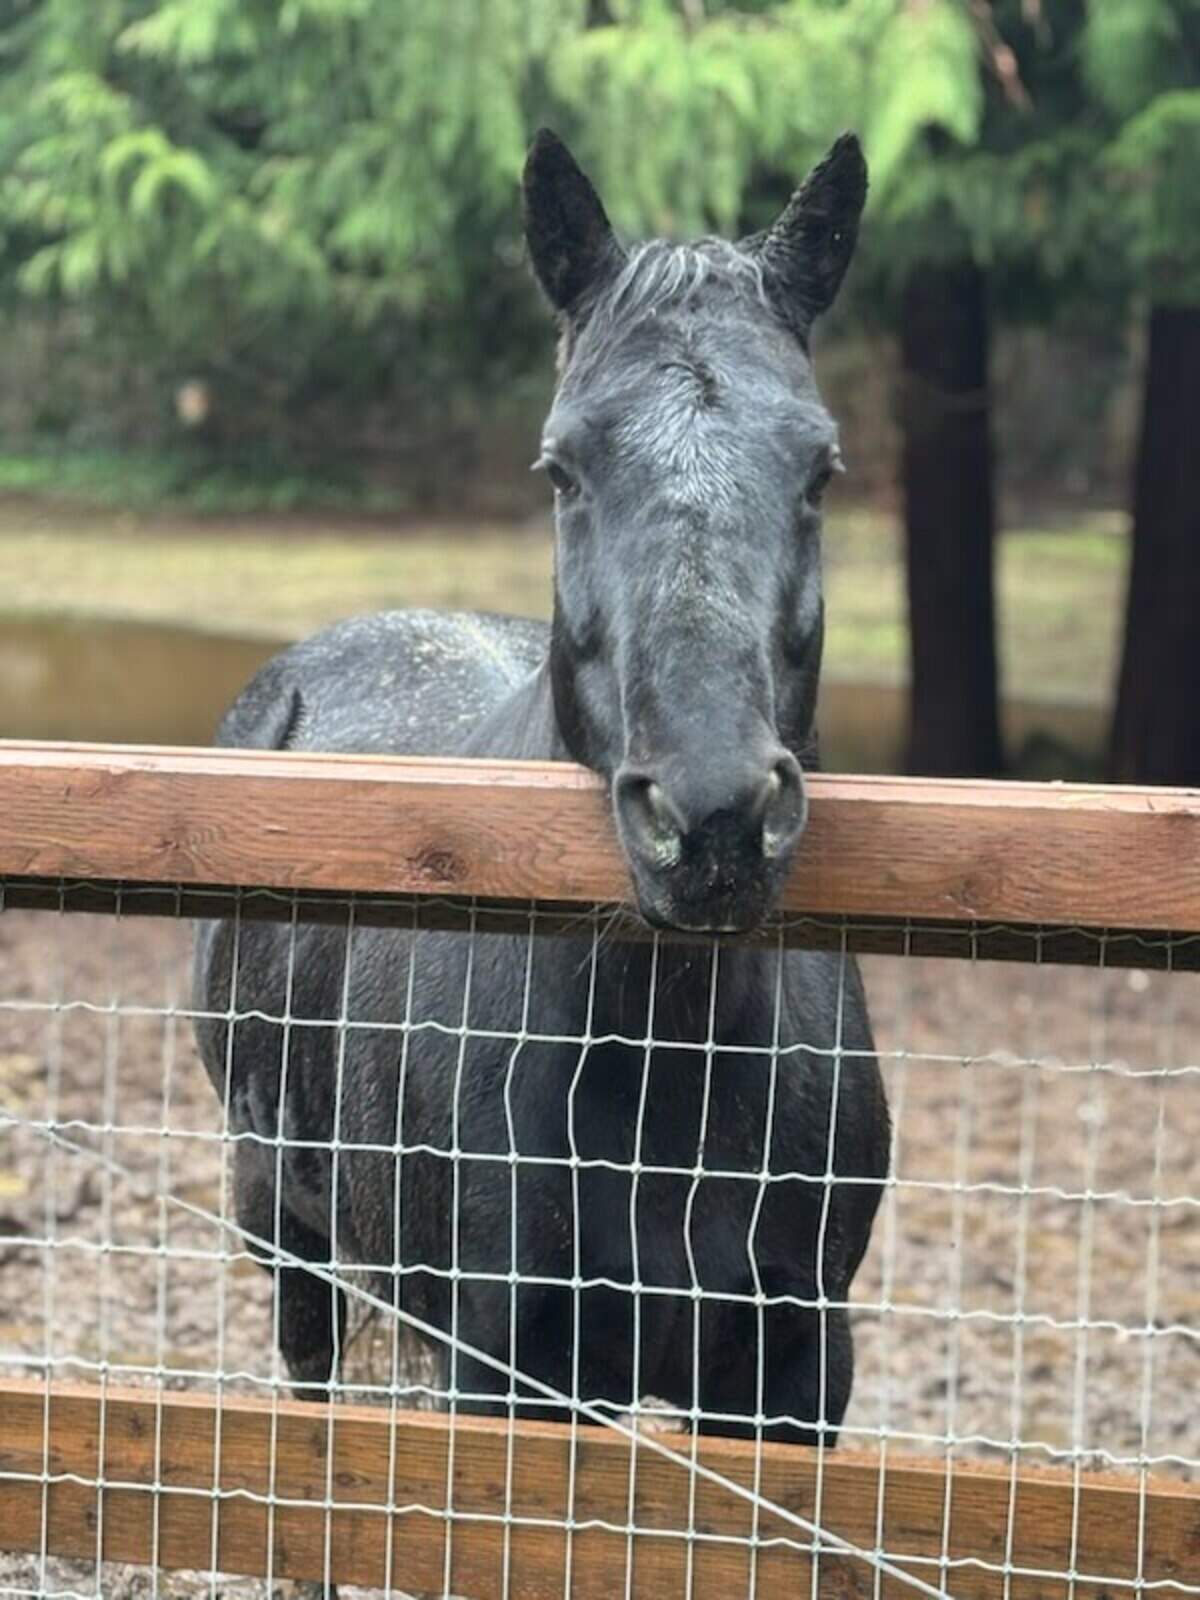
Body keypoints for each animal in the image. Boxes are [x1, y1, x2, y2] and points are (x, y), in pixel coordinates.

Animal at [193, 129, 890, 1452]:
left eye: (823, 467)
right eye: (563, 466)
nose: (712, 820)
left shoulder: (793, 1377)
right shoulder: (507, 1371)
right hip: (281, 1219)